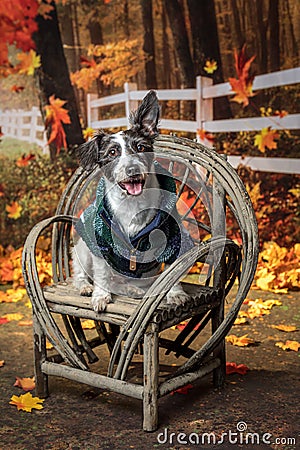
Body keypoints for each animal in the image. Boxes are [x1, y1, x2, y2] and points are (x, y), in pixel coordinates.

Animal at [72, 89, 195, 312]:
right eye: (112, 152)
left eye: (141, 147)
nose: (132, 169)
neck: (132, 204)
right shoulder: (100, 242)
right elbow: (101, 274)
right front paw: (100, 296)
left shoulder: (172, 239)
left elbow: (172, 271)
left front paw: (176, 294)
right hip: (83, 250)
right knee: (80, 273)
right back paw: (85, 286)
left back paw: (133, 288)